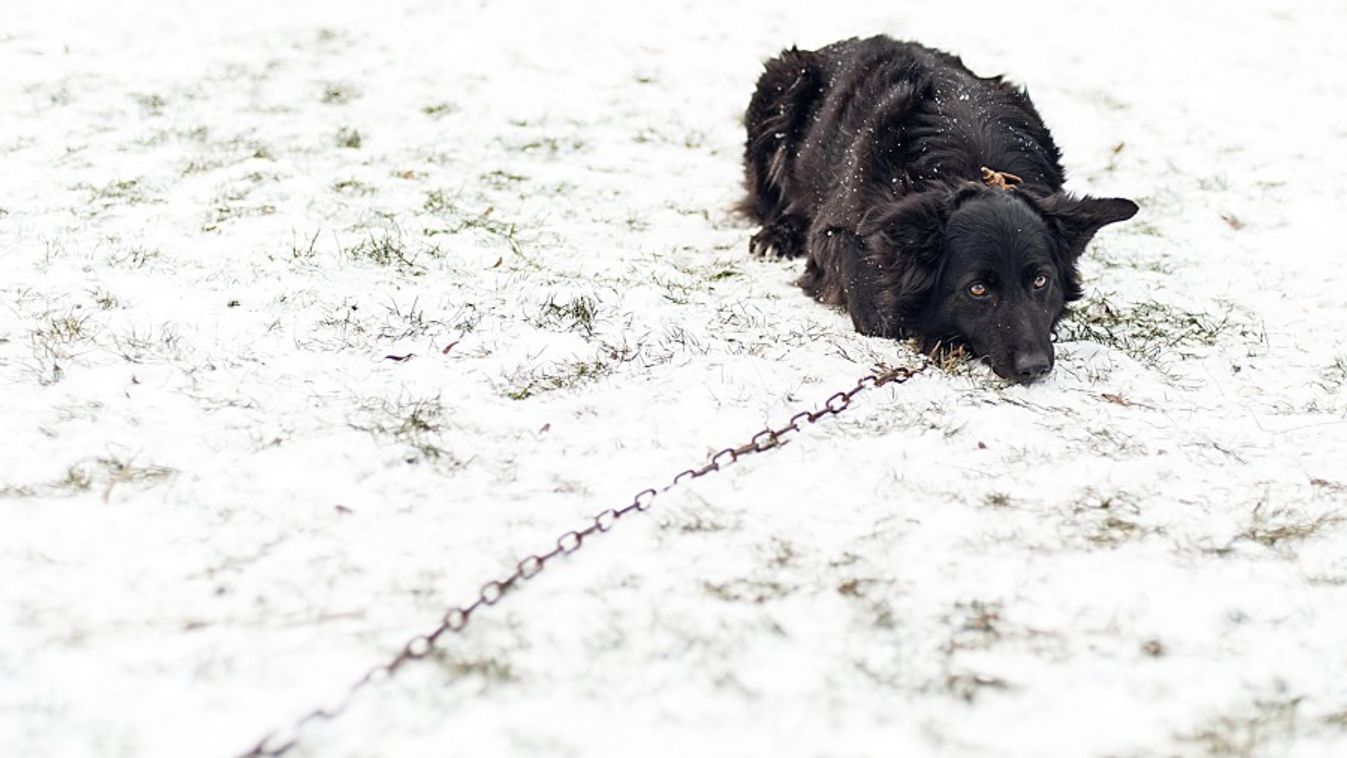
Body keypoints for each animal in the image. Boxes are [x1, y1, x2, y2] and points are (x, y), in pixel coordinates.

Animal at [738, 35, 1136, 382]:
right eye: (978, 289)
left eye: (1041, 281)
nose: (1035, 368)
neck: (971, 165)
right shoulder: (835, 234)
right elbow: (877, 309)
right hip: (779, 91)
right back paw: (777, 234)